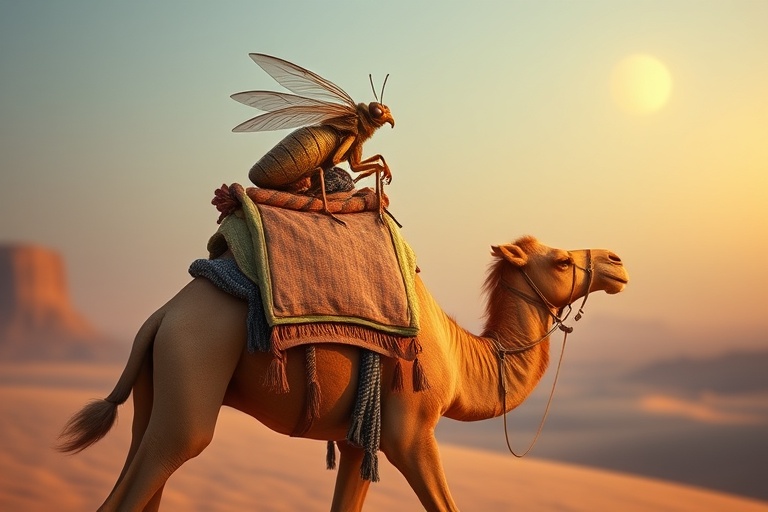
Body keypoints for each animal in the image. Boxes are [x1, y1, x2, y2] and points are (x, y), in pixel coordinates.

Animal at [59, 235, 628, 511]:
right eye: (559, 261)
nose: (616, 262)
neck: (463, 356)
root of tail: (162, 316)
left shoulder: (360, 440)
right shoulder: (410, 432)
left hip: (156, 389)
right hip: (195, 363)